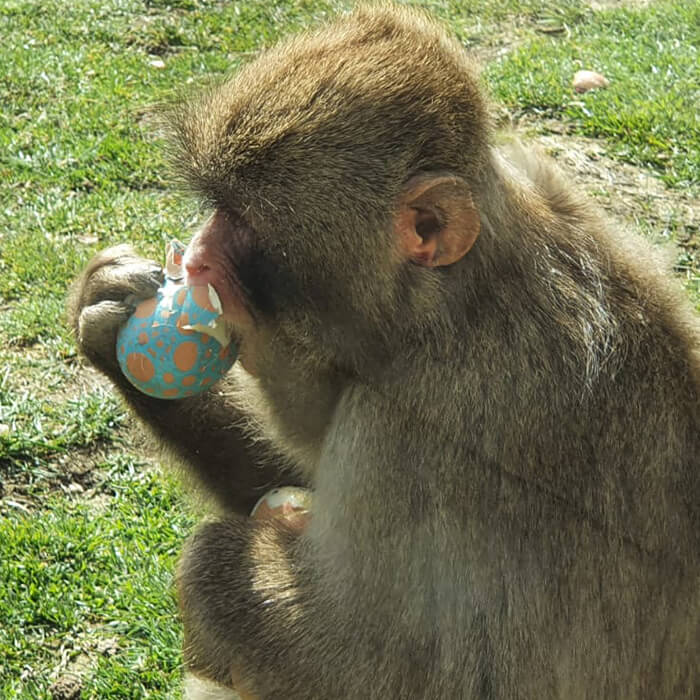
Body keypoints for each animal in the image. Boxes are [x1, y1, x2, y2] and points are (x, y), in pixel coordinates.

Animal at [67, 5, 700, 700]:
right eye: (216, 208)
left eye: (244, 223)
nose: (198, 258)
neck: (445, 312)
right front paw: (111, 304)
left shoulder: (419, 436)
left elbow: (422, 672)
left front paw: (215, 569)